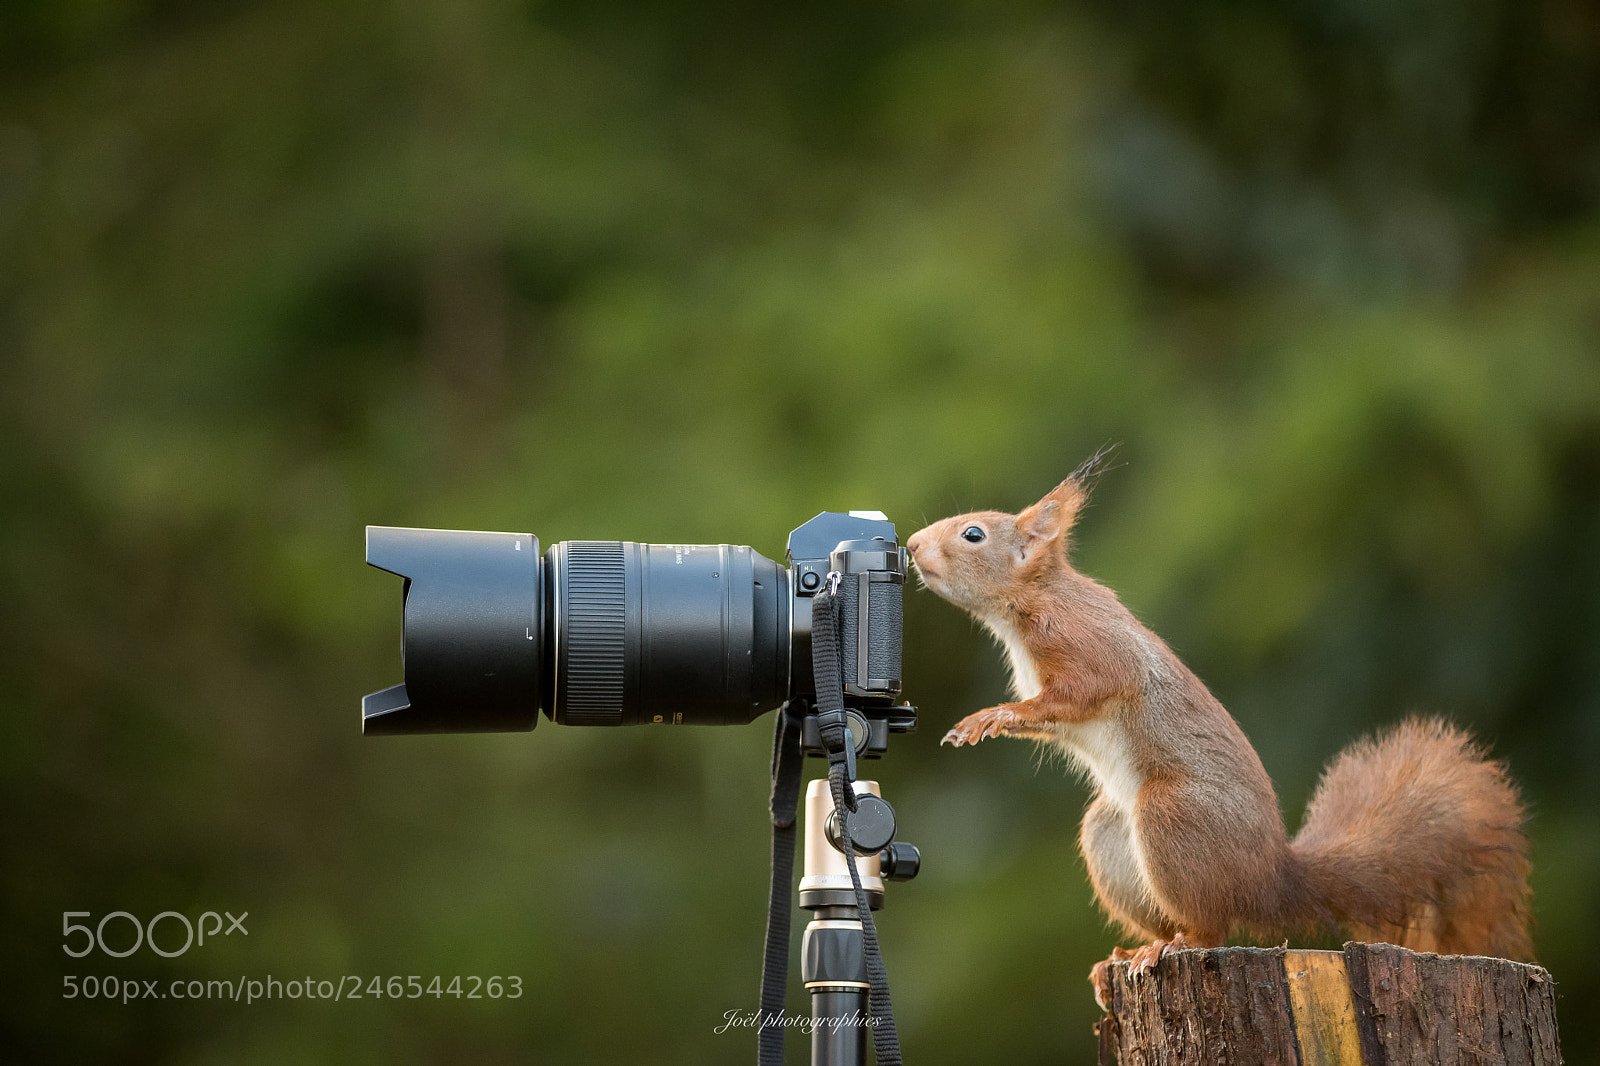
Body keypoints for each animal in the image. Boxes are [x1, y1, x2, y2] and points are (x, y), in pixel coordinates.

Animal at [905, 451, 1532, 1003]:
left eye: (973, 535)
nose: (910, 546)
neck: (1026, 604)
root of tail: (1274, 877)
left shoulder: (1088, 643)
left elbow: (1083, 690)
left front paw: (992, 717)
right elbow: (1052, 717)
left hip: (1173, 816)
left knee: (1214, 928)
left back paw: (1169, 949)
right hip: (1110, 835)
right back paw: (1125, 958)